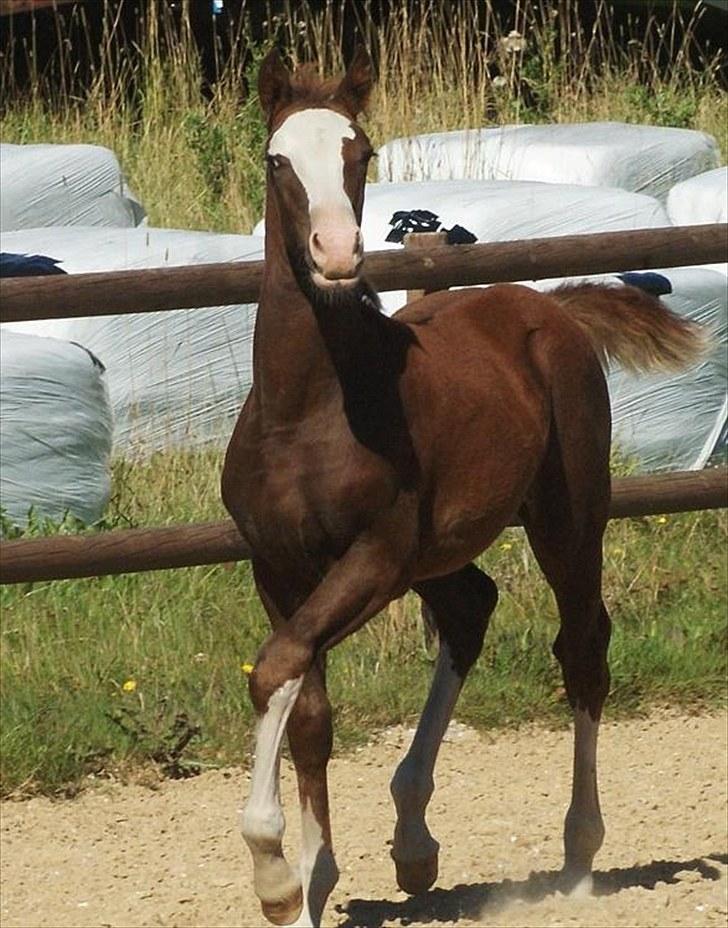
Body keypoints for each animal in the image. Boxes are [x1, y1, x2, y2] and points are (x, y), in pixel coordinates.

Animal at [222, 50, 704, 928]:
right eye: (278, 161)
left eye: (363, 152)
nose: (337, 251)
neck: (308, 409)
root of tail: (549, 307)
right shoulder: (276, 565)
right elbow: (306, 709)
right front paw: (310, 887)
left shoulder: (375, 558)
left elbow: (275, 669)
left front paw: (276, 876)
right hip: (440, 552)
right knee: (472, 608)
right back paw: (415, 842)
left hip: (567, 520)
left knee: (583, 648)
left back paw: (578, 856)